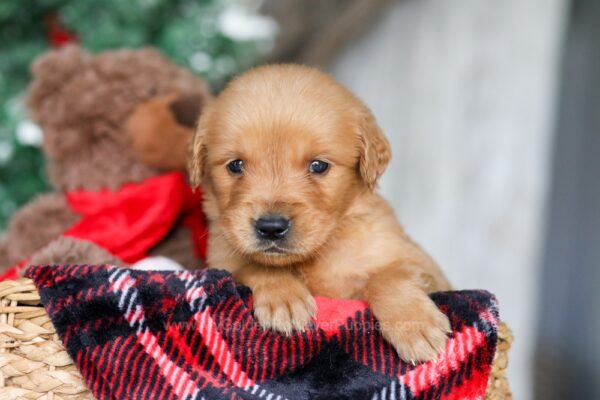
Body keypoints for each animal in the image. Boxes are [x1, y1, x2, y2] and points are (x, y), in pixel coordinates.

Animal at [191, 63, 450, 362]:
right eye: (235, 165)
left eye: (318, 165)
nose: (271, 227)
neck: (318, 253)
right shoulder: (221, 261)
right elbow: (255, 265)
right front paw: (284, 298)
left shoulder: (424, 266)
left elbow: (387, 275)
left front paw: (415, 325)